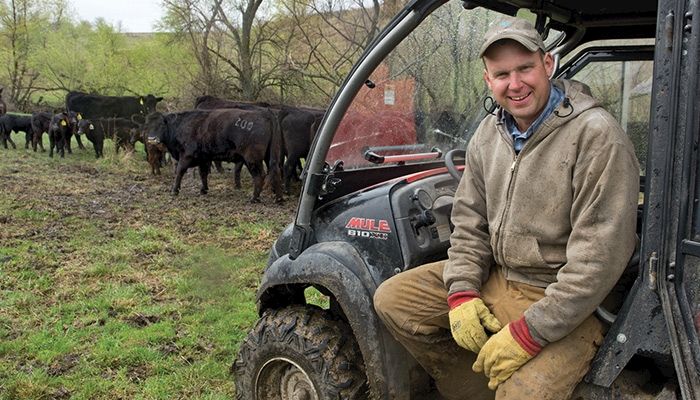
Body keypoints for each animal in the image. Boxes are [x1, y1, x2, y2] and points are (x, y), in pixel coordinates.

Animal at [145, 108, 284, 203]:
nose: (151, 139)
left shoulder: (186, 156)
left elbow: (179, 171)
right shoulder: (203, 158)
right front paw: (204, 189)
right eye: (147, 125)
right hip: (269, 156)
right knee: (276, 172)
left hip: (252, 159)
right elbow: (203, 173)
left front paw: (174, 190)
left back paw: (254, 198)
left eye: (161, 125)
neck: (182, 126)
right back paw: (279, 199)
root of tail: (265, 113)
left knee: (259, 176)